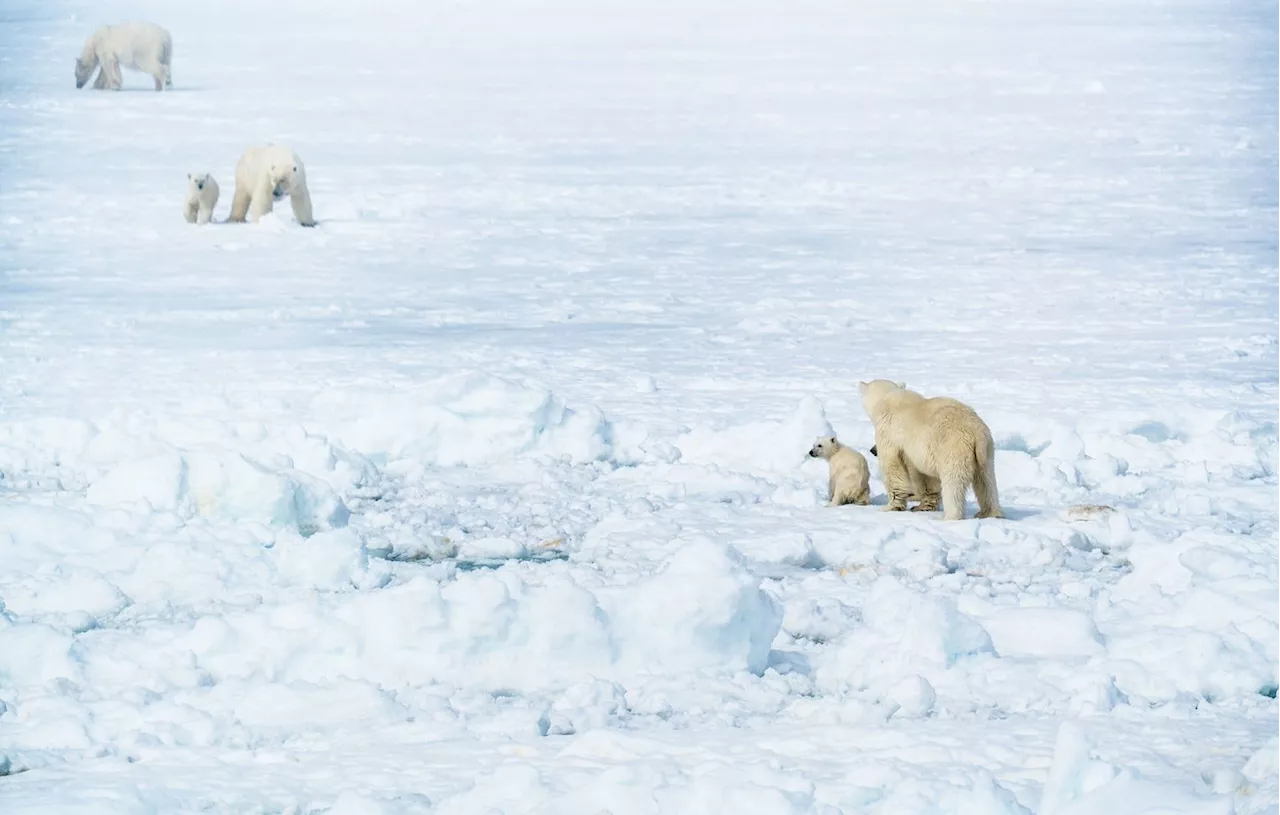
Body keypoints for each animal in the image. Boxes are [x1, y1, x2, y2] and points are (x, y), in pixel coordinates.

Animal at [855, 378, 1003, 522]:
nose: (873, 450)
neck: (888, 397)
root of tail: (975, 432)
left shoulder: (888, 432)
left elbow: (892, 467)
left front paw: (890, 507)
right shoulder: (923, 450)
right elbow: (927, 476)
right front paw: (922, 506)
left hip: (953, 447)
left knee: (953, 483)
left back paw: (950, 517)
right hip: (986, 451)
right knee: (986, 482)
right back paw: (989, 513)